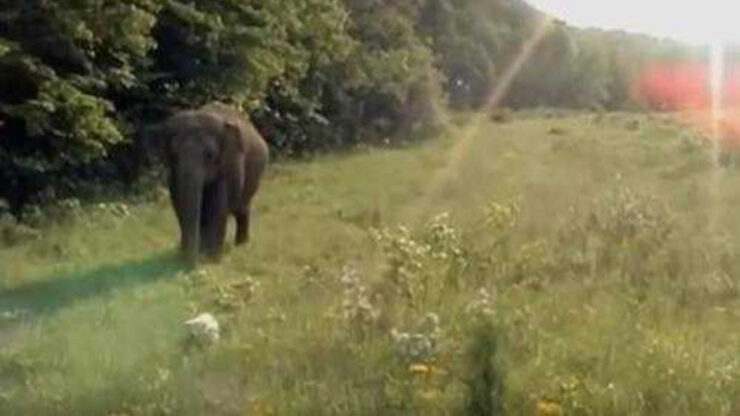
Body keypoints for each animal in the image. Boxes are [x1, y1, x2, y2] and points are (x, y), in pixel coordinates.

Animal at [155, 103, 270, 266]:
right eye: (174, 155)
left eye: (209, 155)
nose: (192, 265)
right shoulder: (173, 173)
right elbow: (178, 202)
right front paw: (186, 254)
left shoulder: (228, 165)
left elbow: (217, 207)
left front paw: (213, 259)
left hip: (255, 175)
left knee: (242, 208)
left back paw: (241, 245)